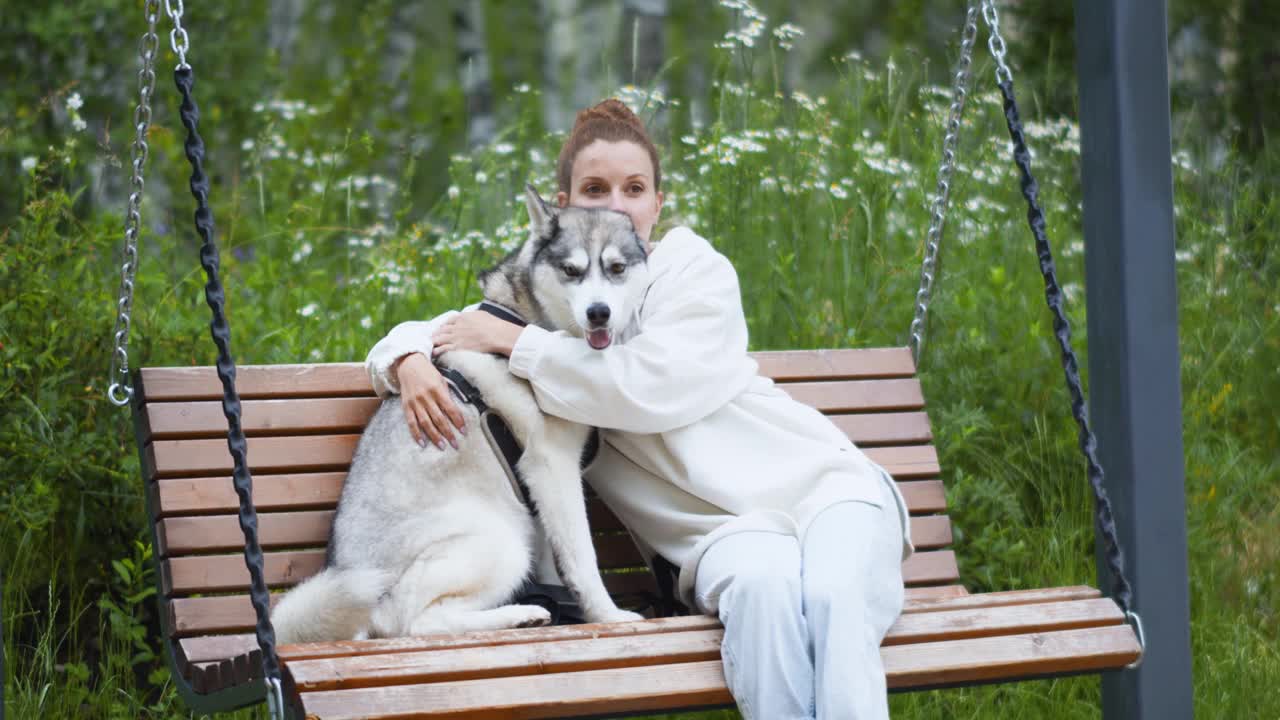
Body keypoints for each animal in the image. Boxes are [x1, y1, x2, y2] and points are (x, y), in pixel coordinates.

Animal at [271, 184, 650, 638]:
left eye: (616, 268)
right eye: (571, 270)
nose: (598, 312)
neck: (524, 321)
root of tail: (366, 616)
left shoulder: (540, 493)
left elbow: (556, 561)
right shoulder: (552, 466)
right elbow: (583, 562)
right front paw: (608, 615)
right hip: (503, 540)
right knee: (418, 623)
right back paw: (517, 614)